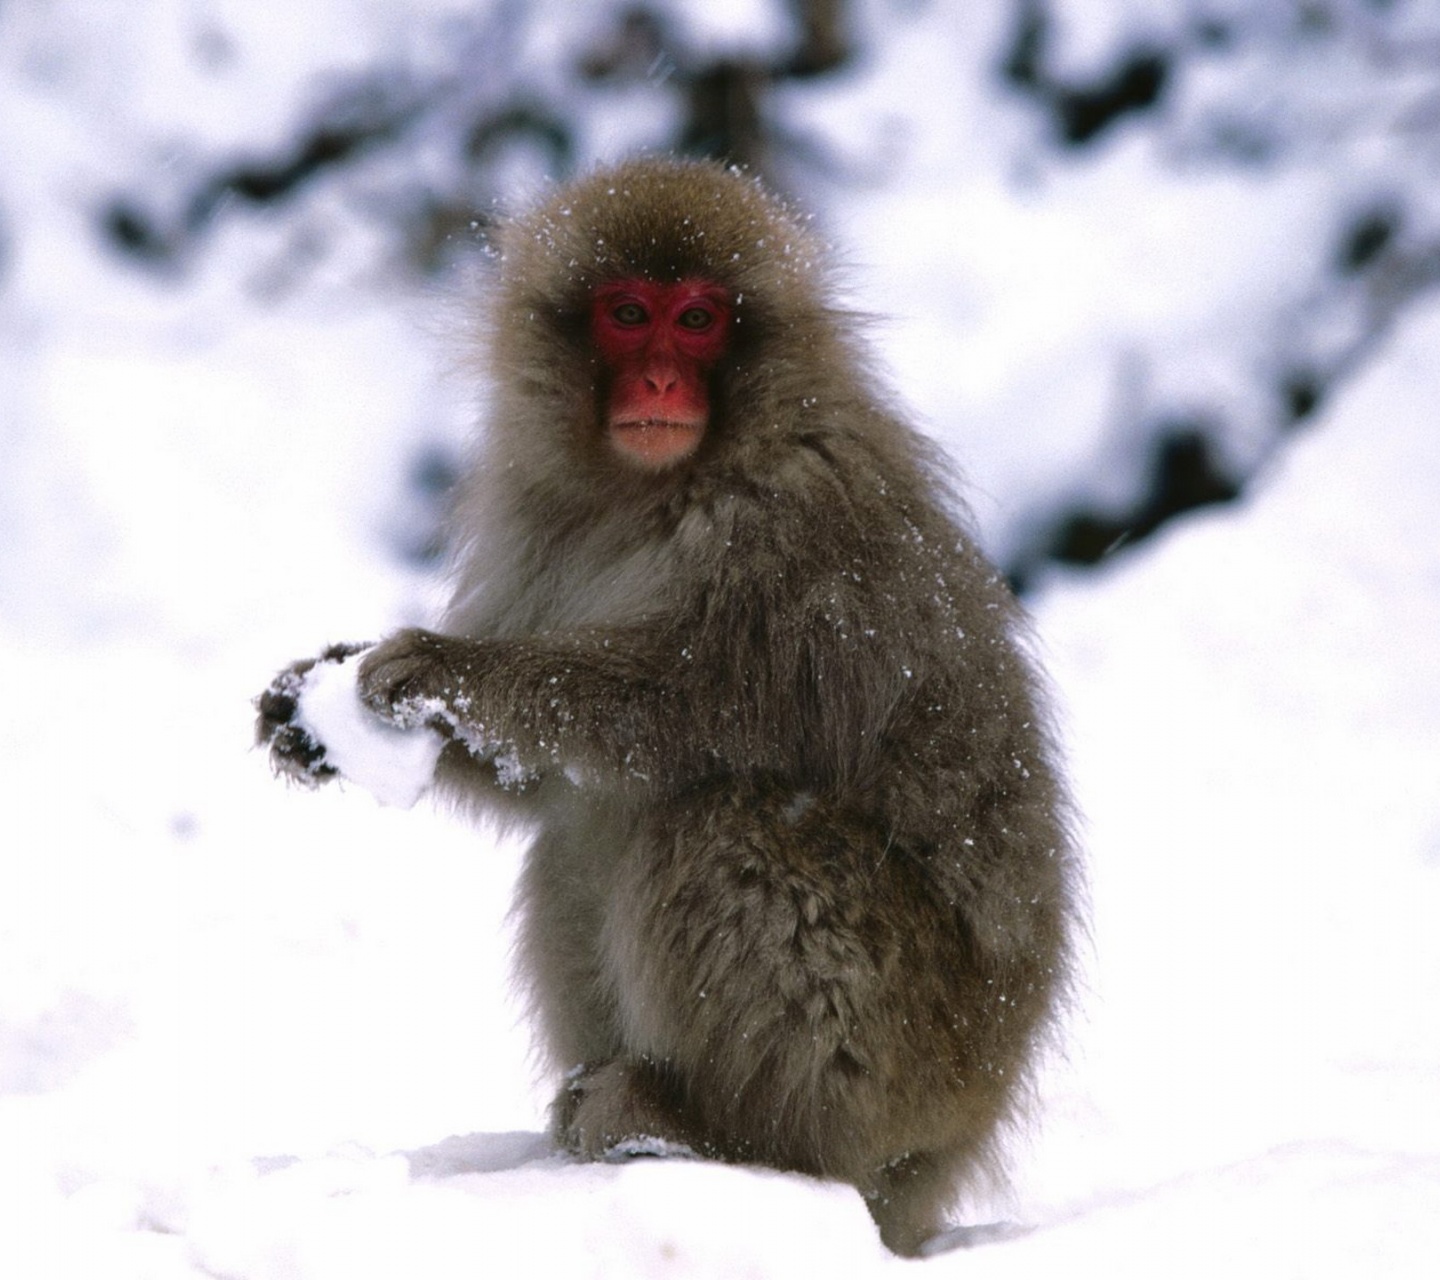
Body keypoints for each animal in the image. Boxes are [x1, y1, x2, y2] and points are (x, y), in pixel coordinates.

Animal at [253, 159, 1077, 1261]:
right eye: (628, 313)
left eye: (697, 320)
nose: (656, 382)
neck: (652, 493)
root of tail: (956, 1144)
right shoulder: (538, 519)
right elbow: (542, 779)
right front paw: (313, 704)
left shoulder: (791, 547)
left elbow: (669, 709)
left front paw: (439, 670)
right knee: (575, 839)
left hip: (898, 1061)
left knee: (717, 817)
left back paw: (724, 1137)